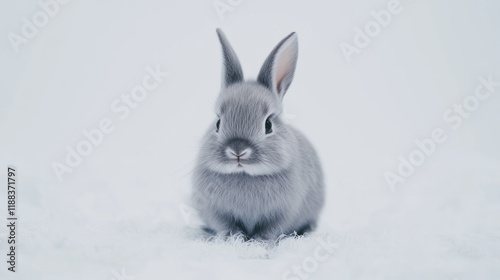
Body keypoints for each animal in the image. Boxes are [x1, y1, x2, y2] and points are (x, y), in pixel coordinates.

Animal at [191, 27, 324, 241]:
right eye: (218, 123)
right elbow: (226, 226)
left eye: (268, 125)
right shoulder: (215, 211)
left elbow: (270, 230)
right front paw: (234, 240)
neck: (245, 174)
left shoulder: (285, 212)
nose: (238, 150)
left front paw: (259, 244)